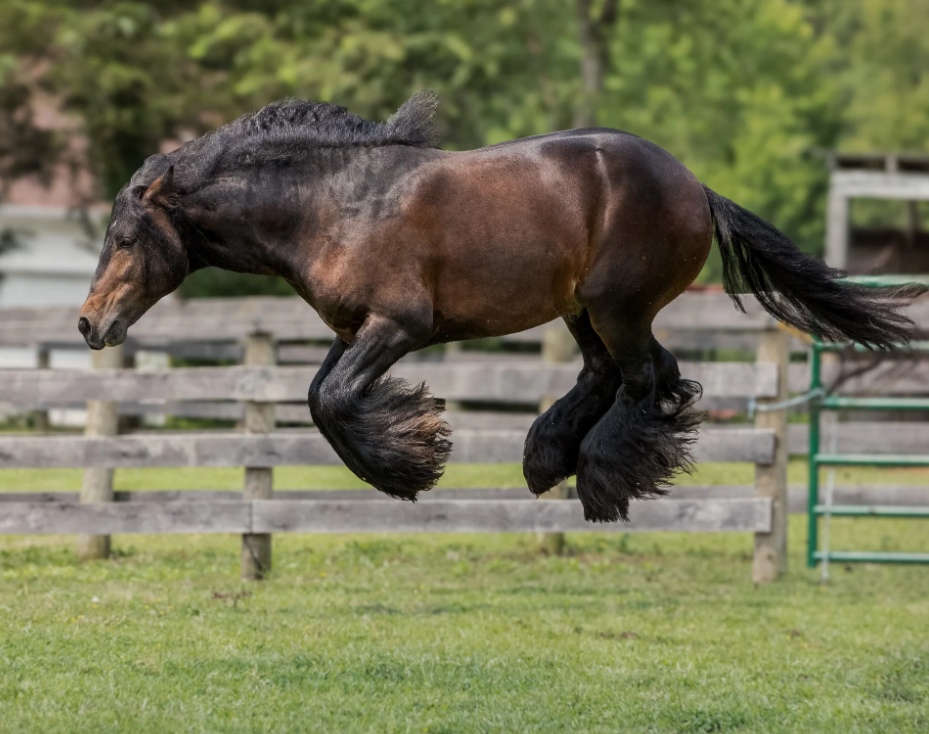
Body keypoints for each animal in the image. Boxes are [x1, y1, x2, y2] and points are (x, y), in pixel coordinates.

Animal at [76, 92, 924, 528]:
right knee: (629, 376)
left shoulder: (398, 327)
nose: (89, 323)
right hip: (585, 309)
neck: (332, 204)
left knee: (643, 380)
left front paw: (410, 464)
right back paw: (549, 458)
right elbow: (321, 398)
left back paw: (599, 480)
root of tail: (696, 187)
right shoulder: (354, 330)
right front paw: (410, 452)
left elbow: (334, 402)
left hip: (616, 304)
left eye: (124, 238)